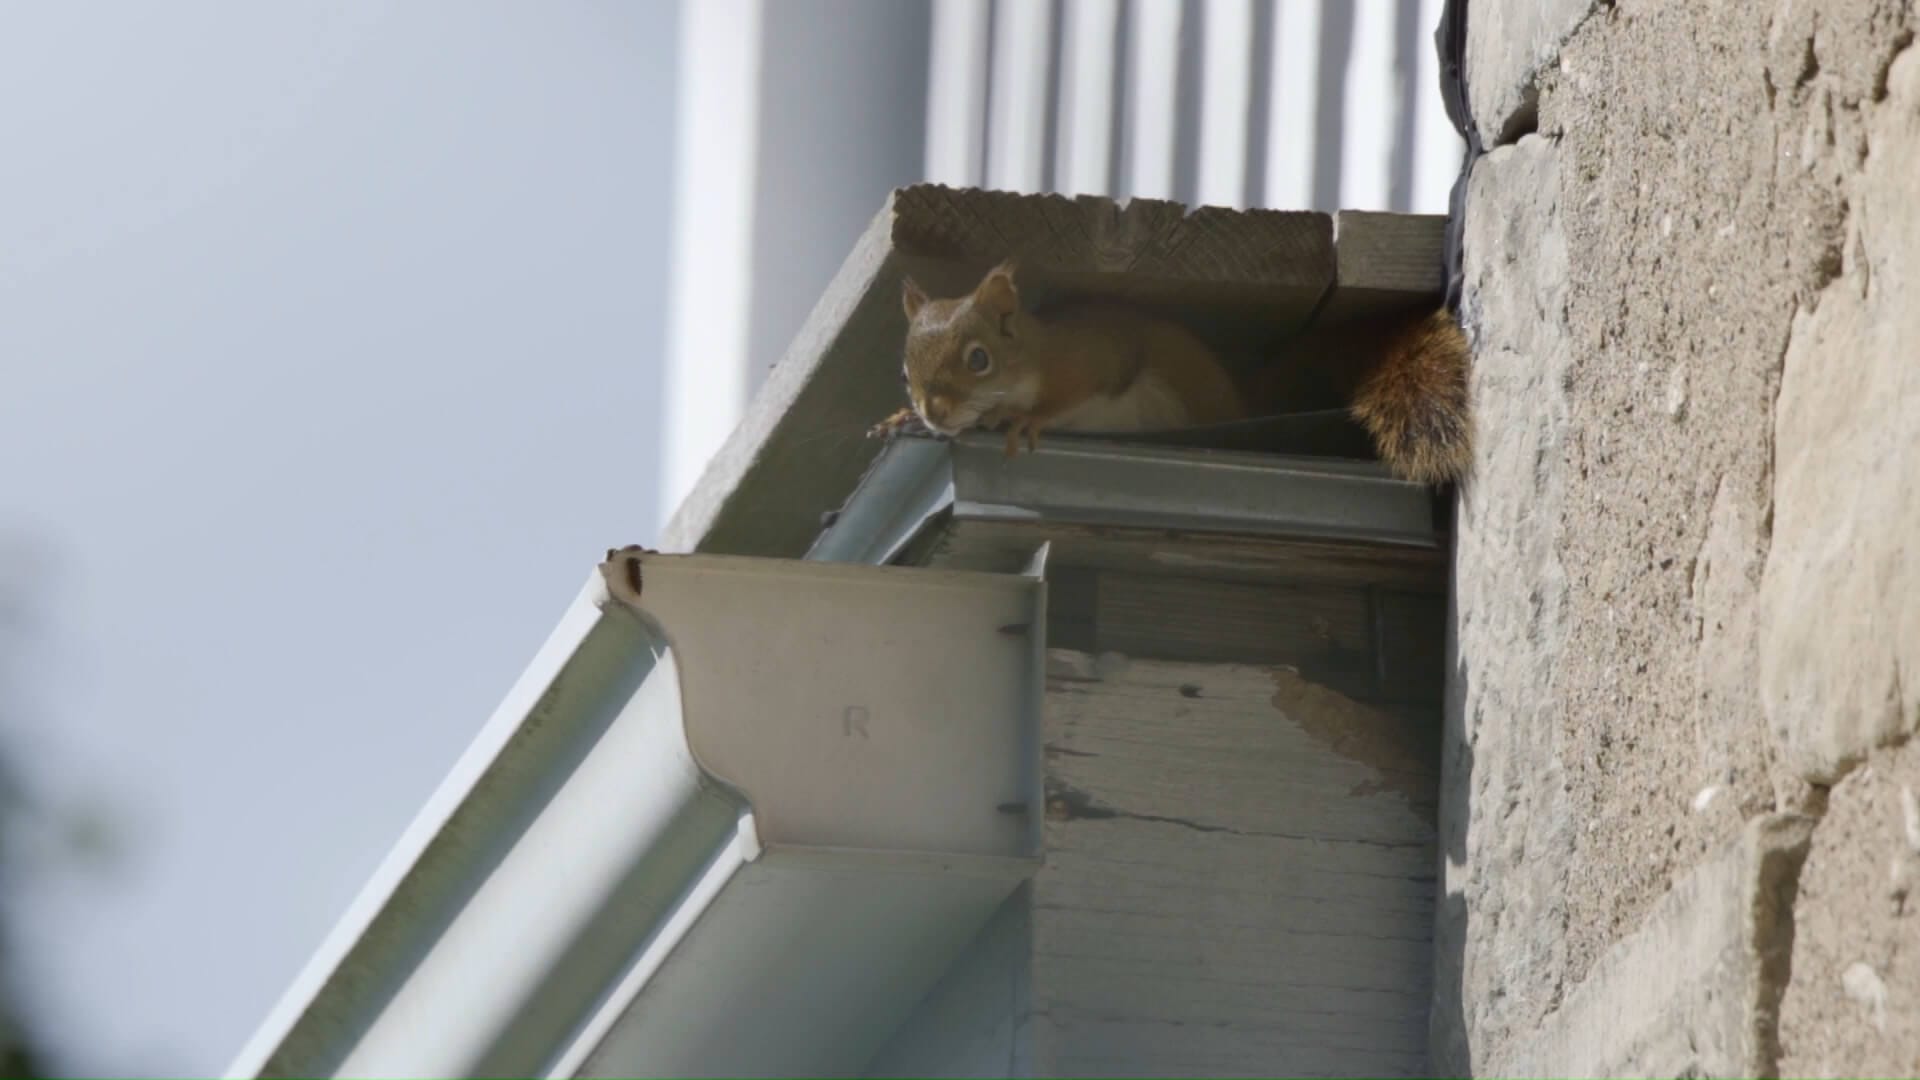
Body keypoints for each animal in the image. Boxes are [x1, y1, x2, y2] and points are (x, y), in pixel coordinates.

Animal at [874, 259, 1473, 484]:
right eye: (903, 374)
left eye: (979, 359)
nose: (934, 411)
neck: (1032, 358)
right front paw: (898, 417)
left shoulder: (1091, 357)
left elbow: (1070, 393)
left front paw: (1026, 419)